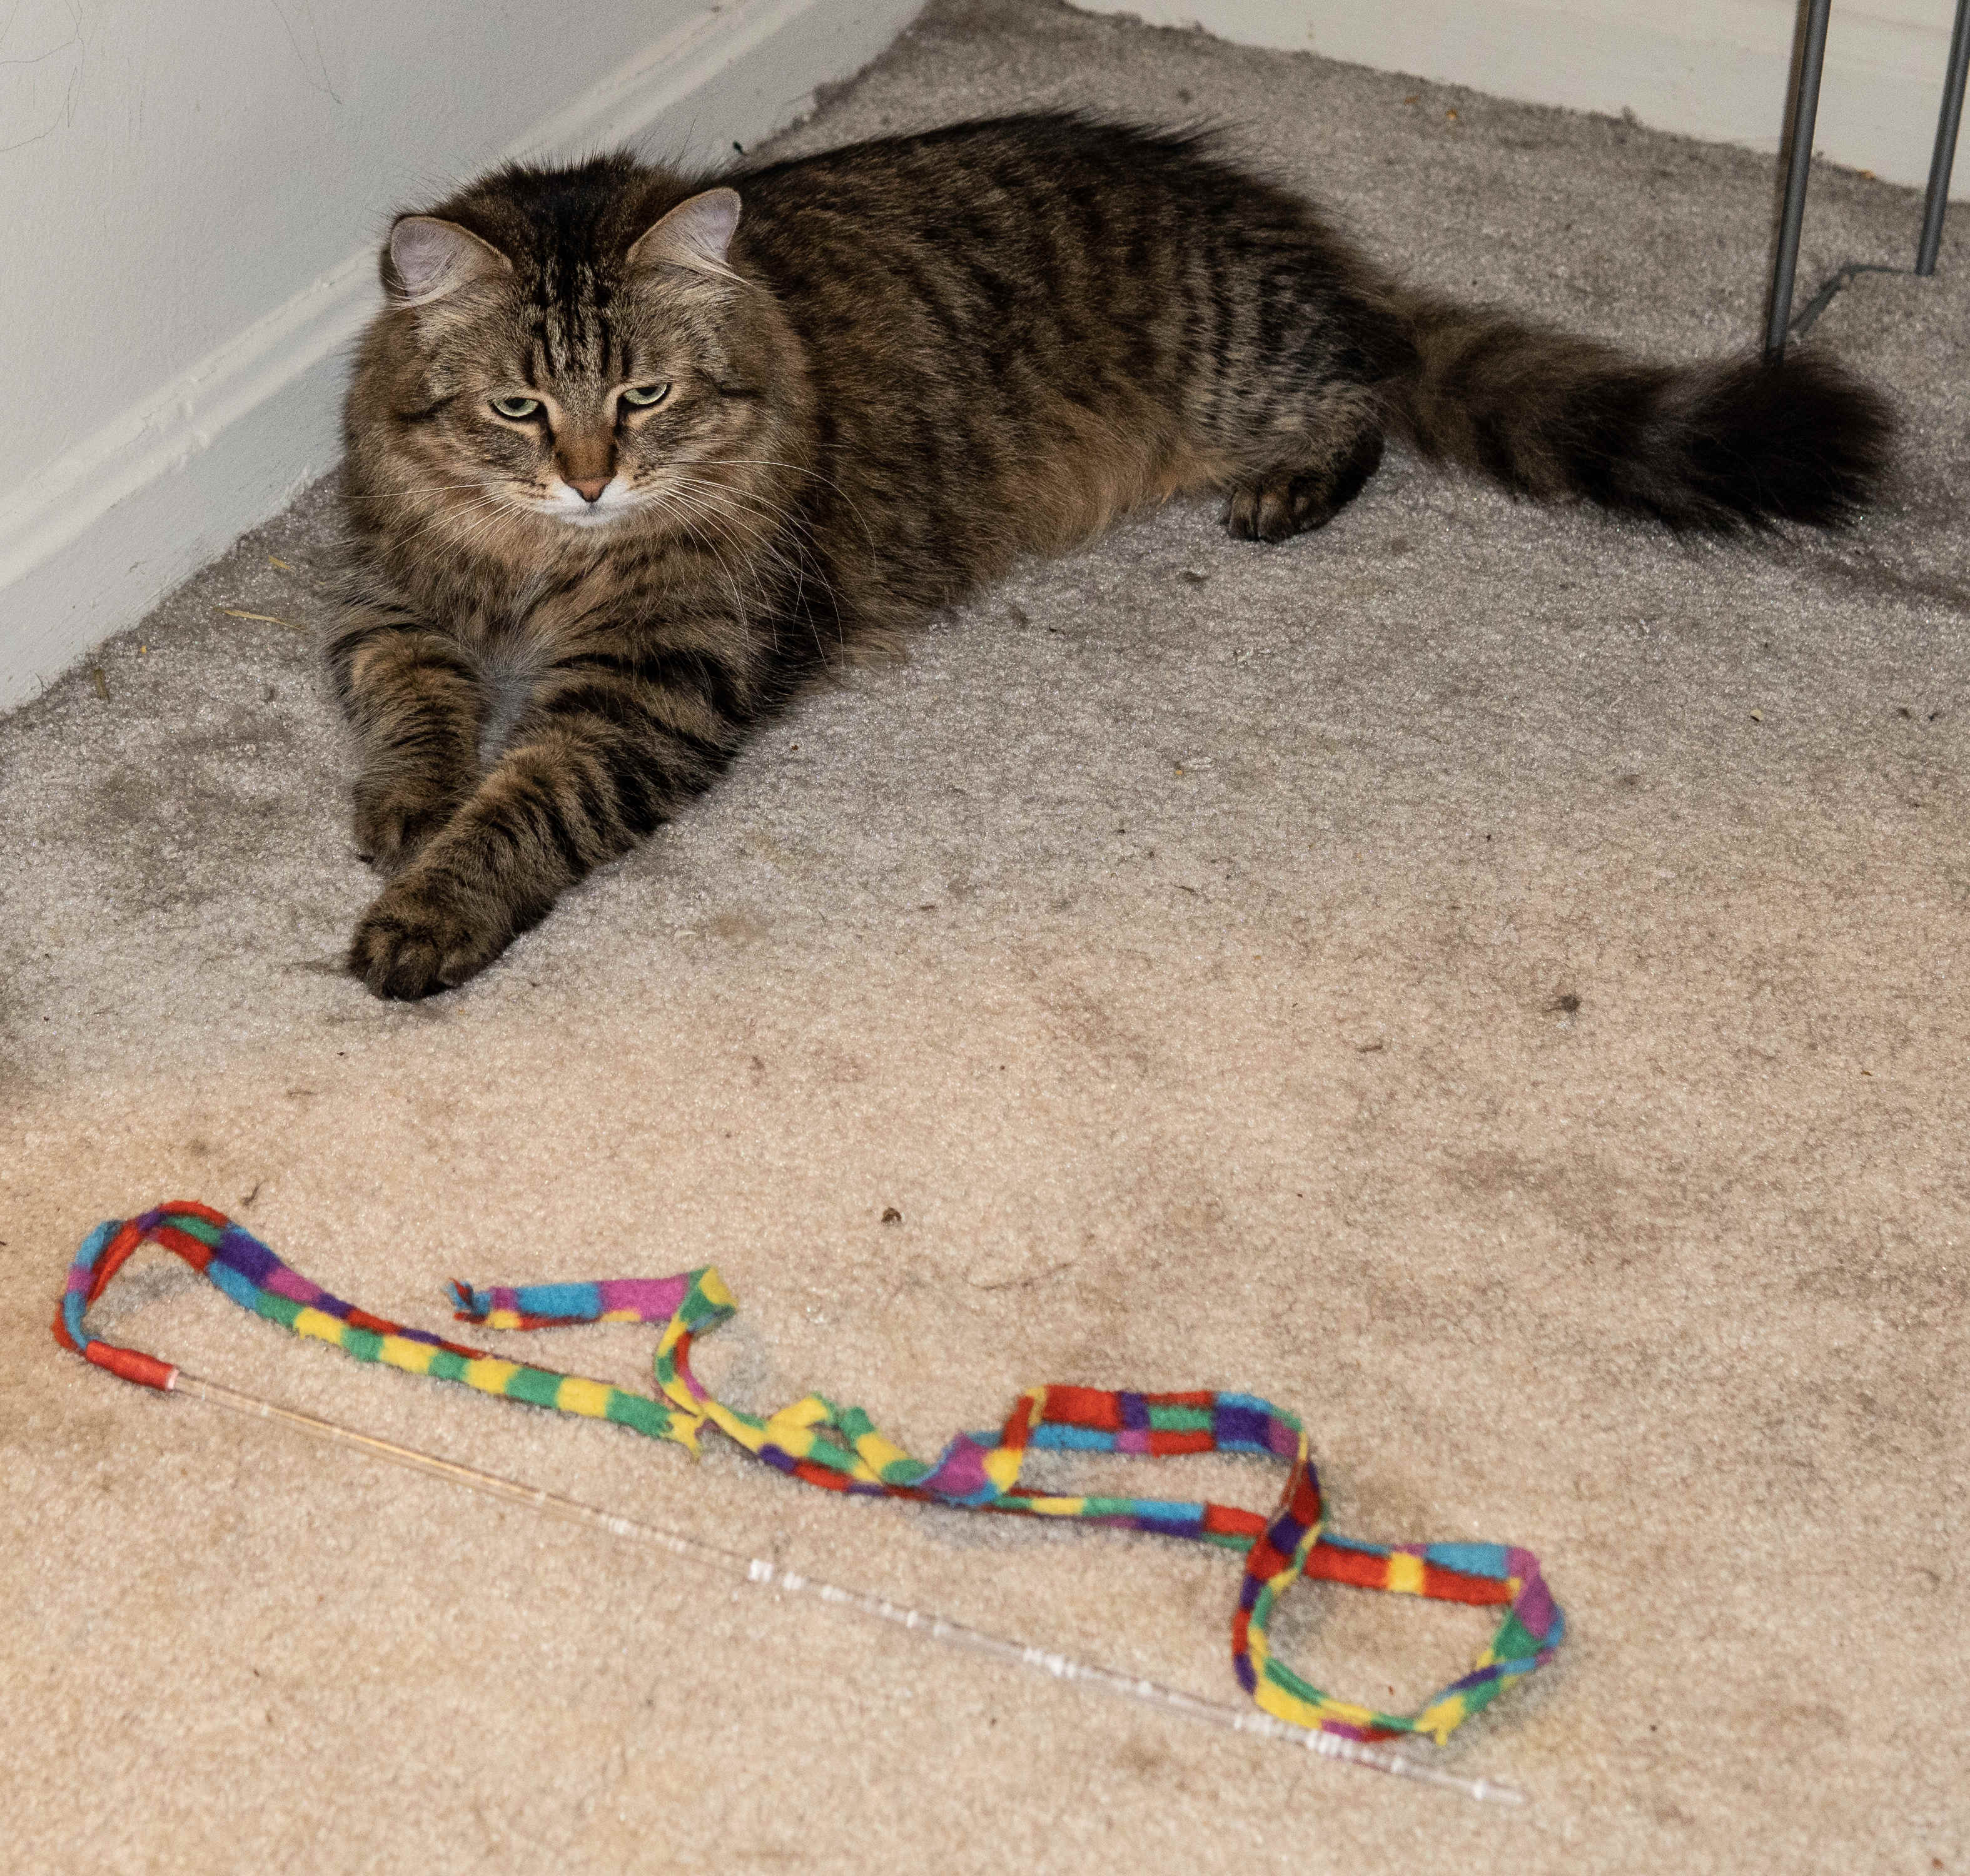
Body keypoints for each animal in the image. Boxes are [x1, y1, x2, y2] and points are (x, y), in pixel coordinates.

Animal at [331, 113, 1892, 999]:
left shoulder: (655, 685)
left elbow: (530, 805)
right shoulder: (384, 602)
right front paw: (410, 805)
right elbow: (414, 705)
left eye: (644, 395)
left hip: (1243, 382)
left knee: (1367, 400)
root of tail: (1277, 226)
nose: (592, 482)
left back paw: (1290, 491)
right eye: (519, 409)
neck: (536, 569)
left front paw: (429, 911)